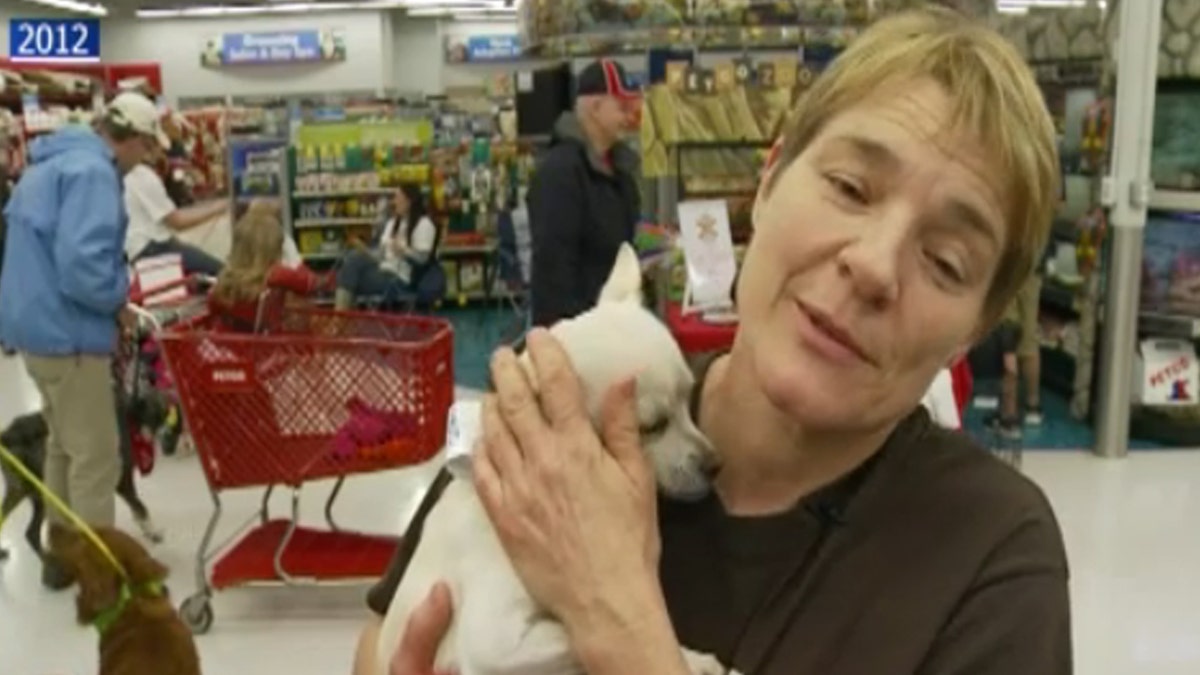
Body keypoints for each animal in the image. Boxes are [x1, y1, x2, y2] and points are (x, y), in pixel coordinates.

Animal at [374, 242, 734, 672]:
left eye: (688, 403)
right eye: (651, 427)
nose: (715, 465)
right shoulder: (495, 645)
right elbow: (575, 636)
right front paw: (693, 660)